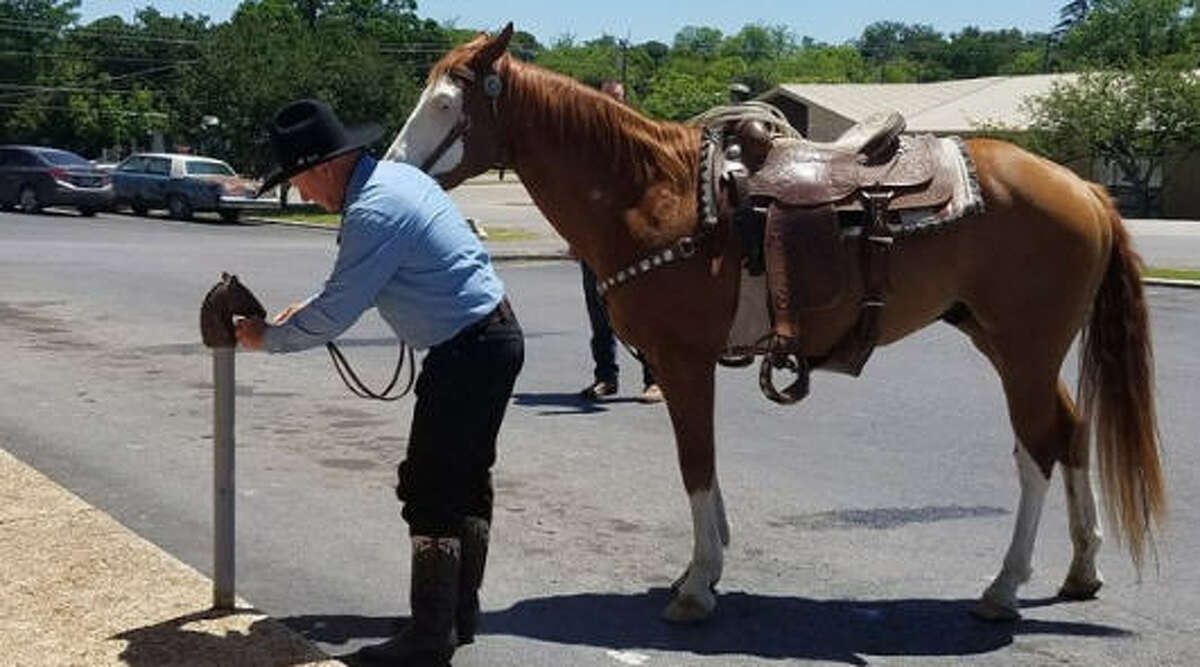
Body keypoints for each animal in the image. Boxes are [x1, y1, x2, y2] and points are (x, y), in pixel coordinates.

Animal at [381, 23, 1161, 623]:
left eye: (445, 101)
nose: (391, 169)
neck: (653, 193)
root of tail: (1084, 187)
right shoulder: (689, 363)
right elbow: (706, 465)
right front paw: (705, 567)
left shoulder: (681, 360)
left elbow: (695, 463)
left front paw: (697, 586)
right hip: (1006, 341)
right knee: (1072, 432)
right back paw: (1081, 569)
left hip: (1024, 347)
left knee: (1036, 449)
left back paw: (1003, 588)